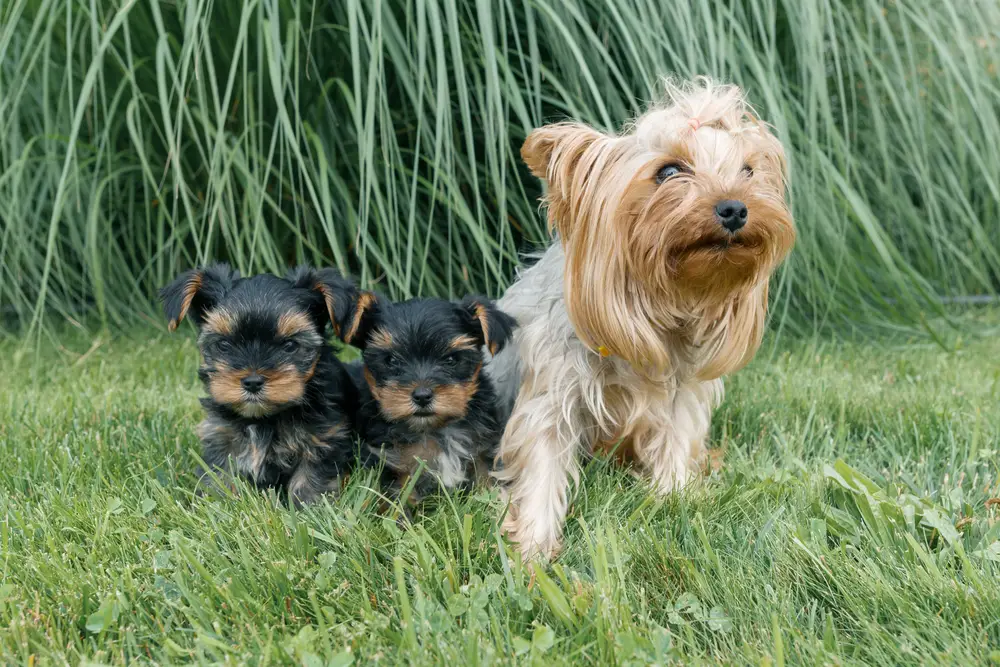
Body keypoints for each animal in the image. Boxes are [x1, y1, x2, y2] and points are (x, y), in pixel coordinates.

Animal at [156, 264, 360, 504]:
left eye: (290, 346)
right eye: (224, 345)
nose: (252, 382)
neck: (263, 417)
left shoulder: (323, 437)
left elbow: (311, 478)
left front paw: (309, 507)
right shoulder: (221, 434)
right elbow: (219, 473)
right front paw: (215, 502)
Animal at [342, 292, 520, 500]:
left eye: (451, 360)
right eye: (391, 360)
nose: (422, 396)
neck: (435, 428)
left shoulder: (482, 447)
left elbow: (487, 479)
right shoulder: (393, 461)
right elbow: (400, 497)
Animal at [488, 78, 792, 560]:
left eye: (747, 171)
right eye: (668, 172)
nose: (736, 208)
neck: (656, 301)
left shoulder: (681, 393)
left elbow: (674, 444)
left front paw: (675, 499)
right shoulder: (552, 395)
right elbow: (542, 463)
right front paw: (533, 549)